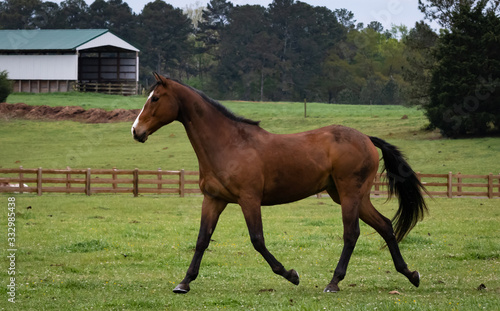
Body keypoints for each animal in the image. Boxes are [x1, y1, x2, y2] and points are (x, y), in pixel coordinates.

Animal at [131, 73, 428, 294]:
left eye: (155, 98)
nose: (136, 131)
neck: (229, 144)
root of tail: (366, 138)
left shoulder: (249, 200)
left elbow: (257, 240)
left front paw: (290, 274)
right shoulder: (214, 200)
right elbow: (202, 239)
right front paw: (184, 282)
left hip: (349, 195)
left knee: (351, 233)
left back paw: (334, 283)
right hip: (353, 196)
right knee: (385, 226)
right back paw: (410, 274)